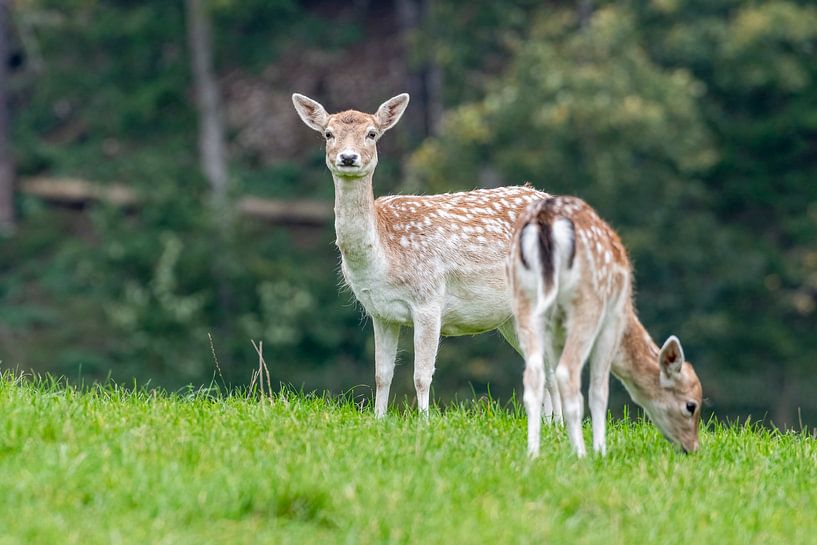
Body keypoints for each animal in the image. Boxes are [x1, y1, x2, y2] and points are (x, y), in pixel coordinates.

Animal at [292, 92, 552, 417]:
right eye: (328, 133)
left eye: (372, 133)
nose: (348, 158)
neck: (385, 257)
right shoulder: (379, 312)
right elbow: (381, 374)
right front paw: (379, 418)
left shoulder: (429, 300)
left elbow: (421, 375)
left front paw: (424, 420)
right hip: (510, 317)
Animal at [508, 196, 703, 457]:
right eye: (691, 406)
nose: (692, 448)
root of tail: (546, 222)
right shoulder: (612, 322)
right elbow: (599, 389)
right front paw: (600, 450)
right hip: (587, 303)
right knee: (568, 373)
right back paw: (581, 454)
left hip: (524, 298)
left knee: (534, 374)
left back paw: (533, 453)